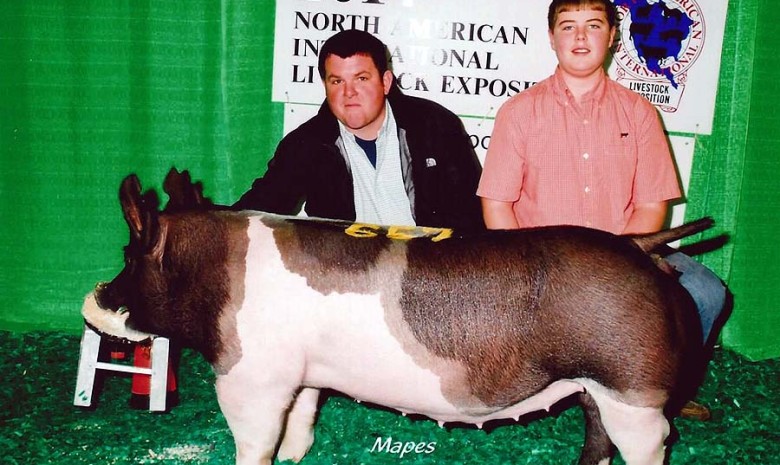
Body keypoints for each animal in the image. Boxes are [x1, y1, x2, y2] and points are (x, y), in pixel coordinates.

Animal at [85, 169, 712, 464]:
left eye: (127, 255)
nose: (91, 300)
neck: (212, 271)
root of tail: (639, 246)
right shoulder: (303, 375)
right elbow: (303, 419)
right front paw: (295, 455)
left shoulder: (250, 377)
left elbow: (254, 440)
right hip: (597, 390)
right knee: (597, 440)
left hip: (631, 388)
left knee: (649, 444)